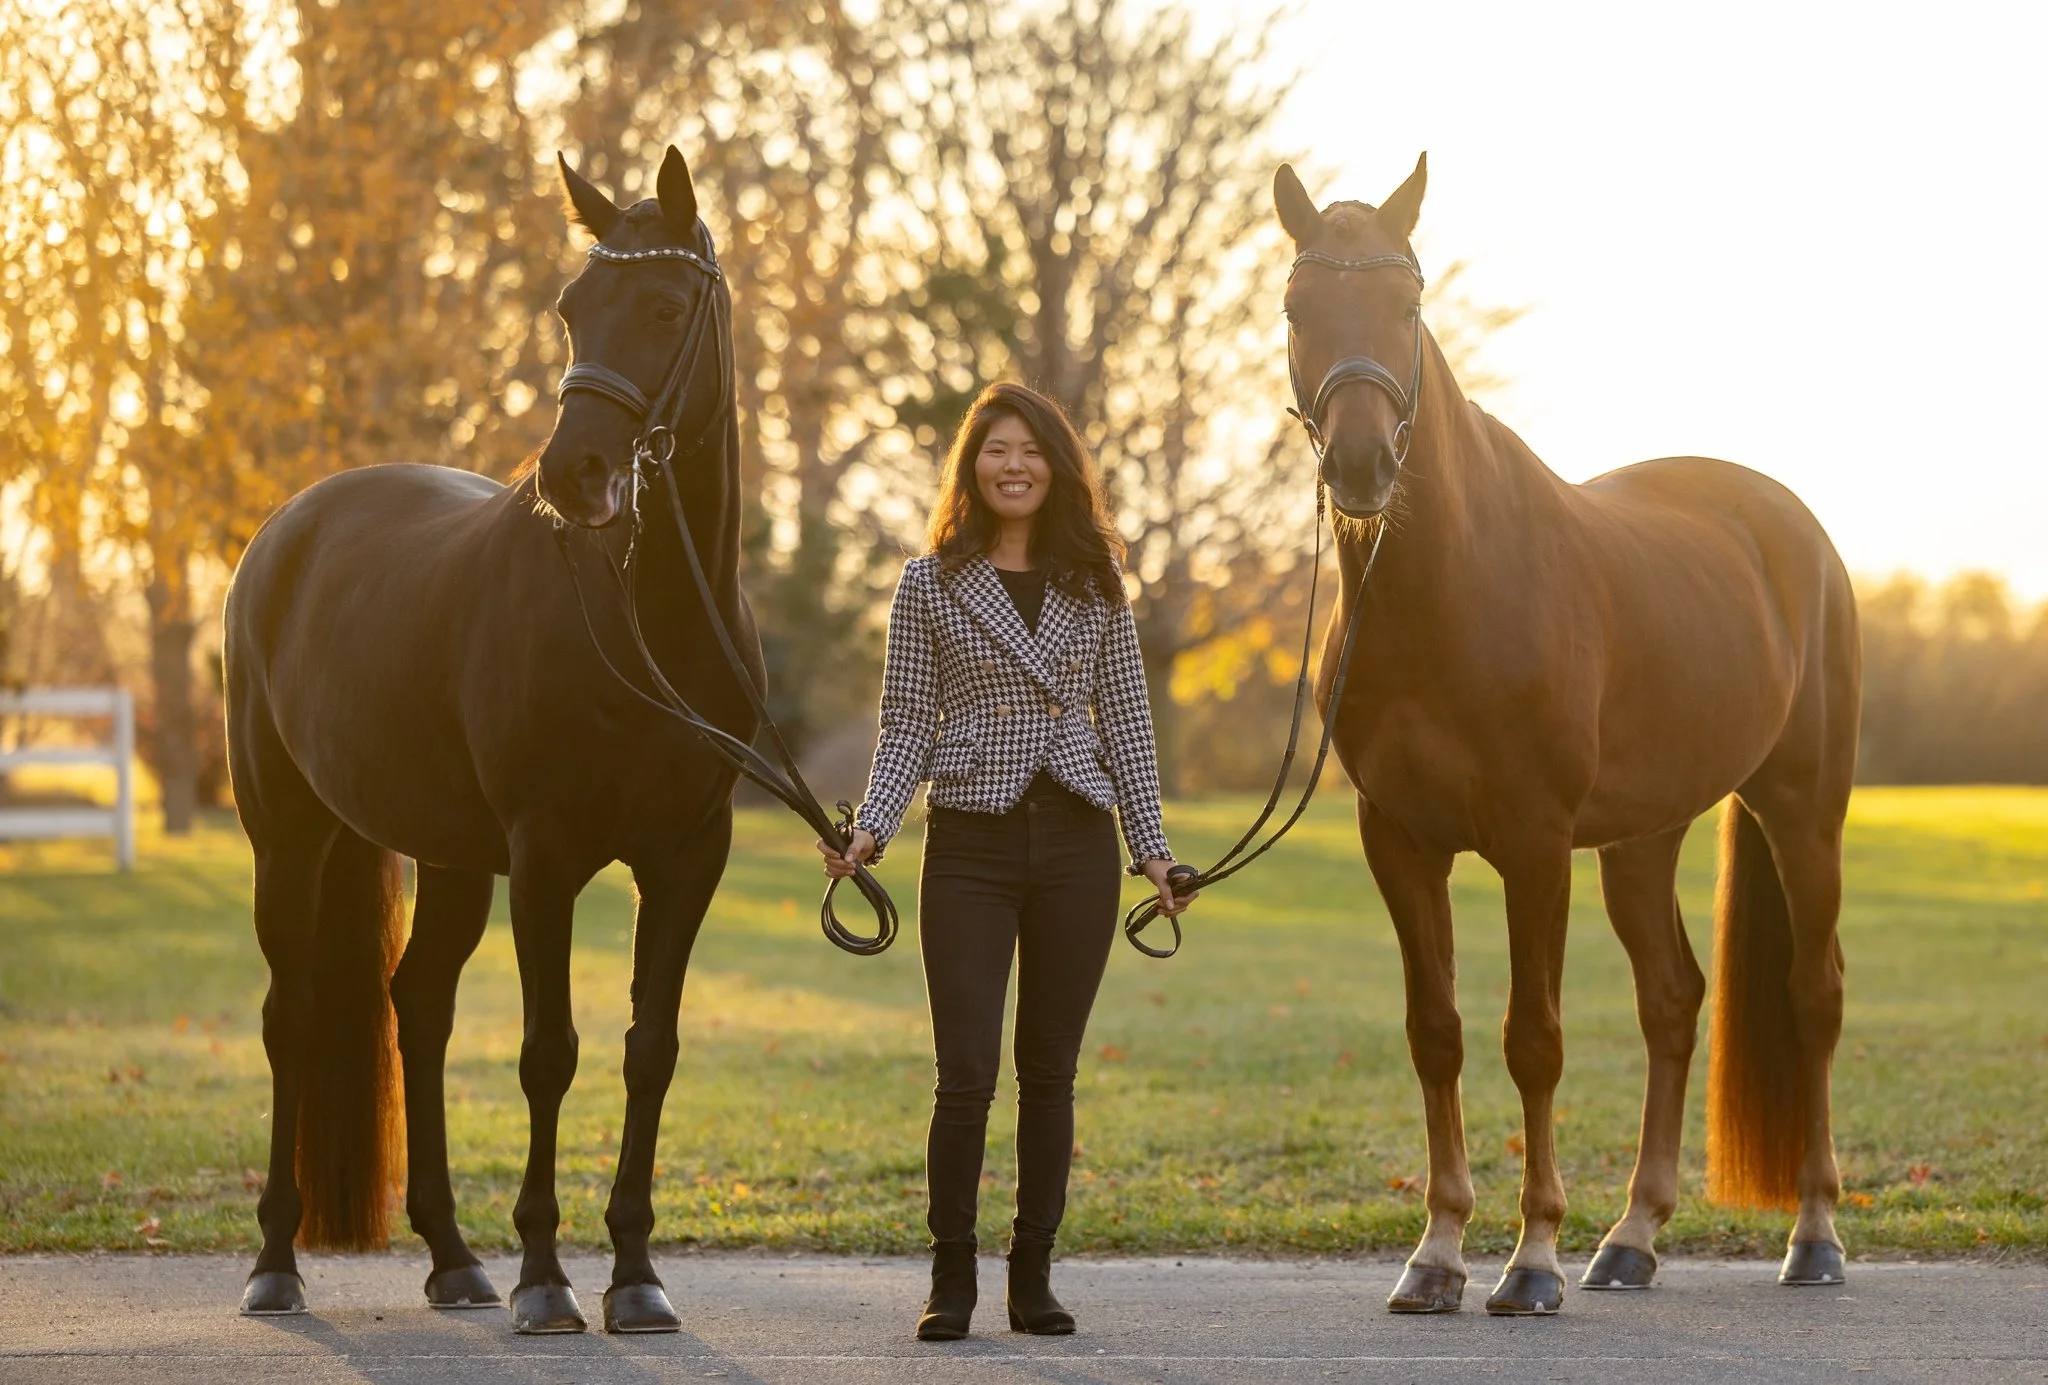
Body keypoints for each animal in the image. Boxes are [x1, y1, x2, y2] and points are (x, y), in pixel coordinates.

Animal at [221, 146, 760, 1334]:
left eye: (664, 307)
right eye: (570, 308)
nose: (576, 474)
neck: (647, 619)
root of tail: (286, 527)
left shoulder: (689, 857)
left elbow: (648, 1050)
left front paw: (635, 1274)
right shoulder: (547, 858)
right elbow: (546, 1054)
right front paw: (546, 1278)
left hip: (452, 857)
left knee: (416, 1006)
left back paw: (452, 1255)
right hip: (290, 839)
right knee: (292, 1016)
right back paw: (276, 1261)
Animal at [1273, 155, 1860, 1316]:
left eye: (1406, 307)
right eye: (1296, 308)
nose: (1361, 464)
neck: (1447, 589)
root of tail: (1794, 529)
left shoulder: (1534, 845)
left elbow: (1531, 1040)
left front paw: (1529, 1256)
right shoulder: (1397, 841)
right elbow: (1437, 1033)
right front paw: (1435, 1254)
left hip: (1802, 813)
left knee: (1811, 999)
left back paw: (1811, 1235)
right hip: (1641, 839)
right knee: (1671, 1002)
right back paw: (1630, 1239)